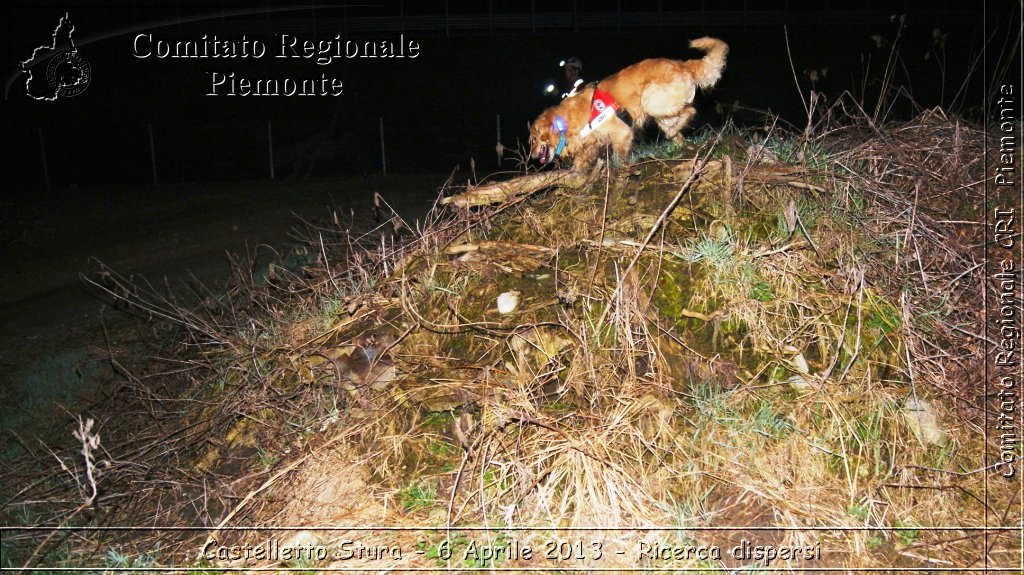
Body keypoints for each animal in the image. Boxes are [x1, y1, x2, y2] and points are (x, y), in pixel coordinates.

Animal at [528, 36, 729, 167]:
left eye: (534, 140)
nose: (532, 157)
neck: (564, 121)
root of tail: (681, 63)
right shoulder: (592, 143)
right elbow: (580, 162)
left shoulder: (621, 132)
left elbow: (618, 157)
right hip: (661, 113)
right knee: (680, 130)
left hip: (652, 101)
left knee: (690, 111)